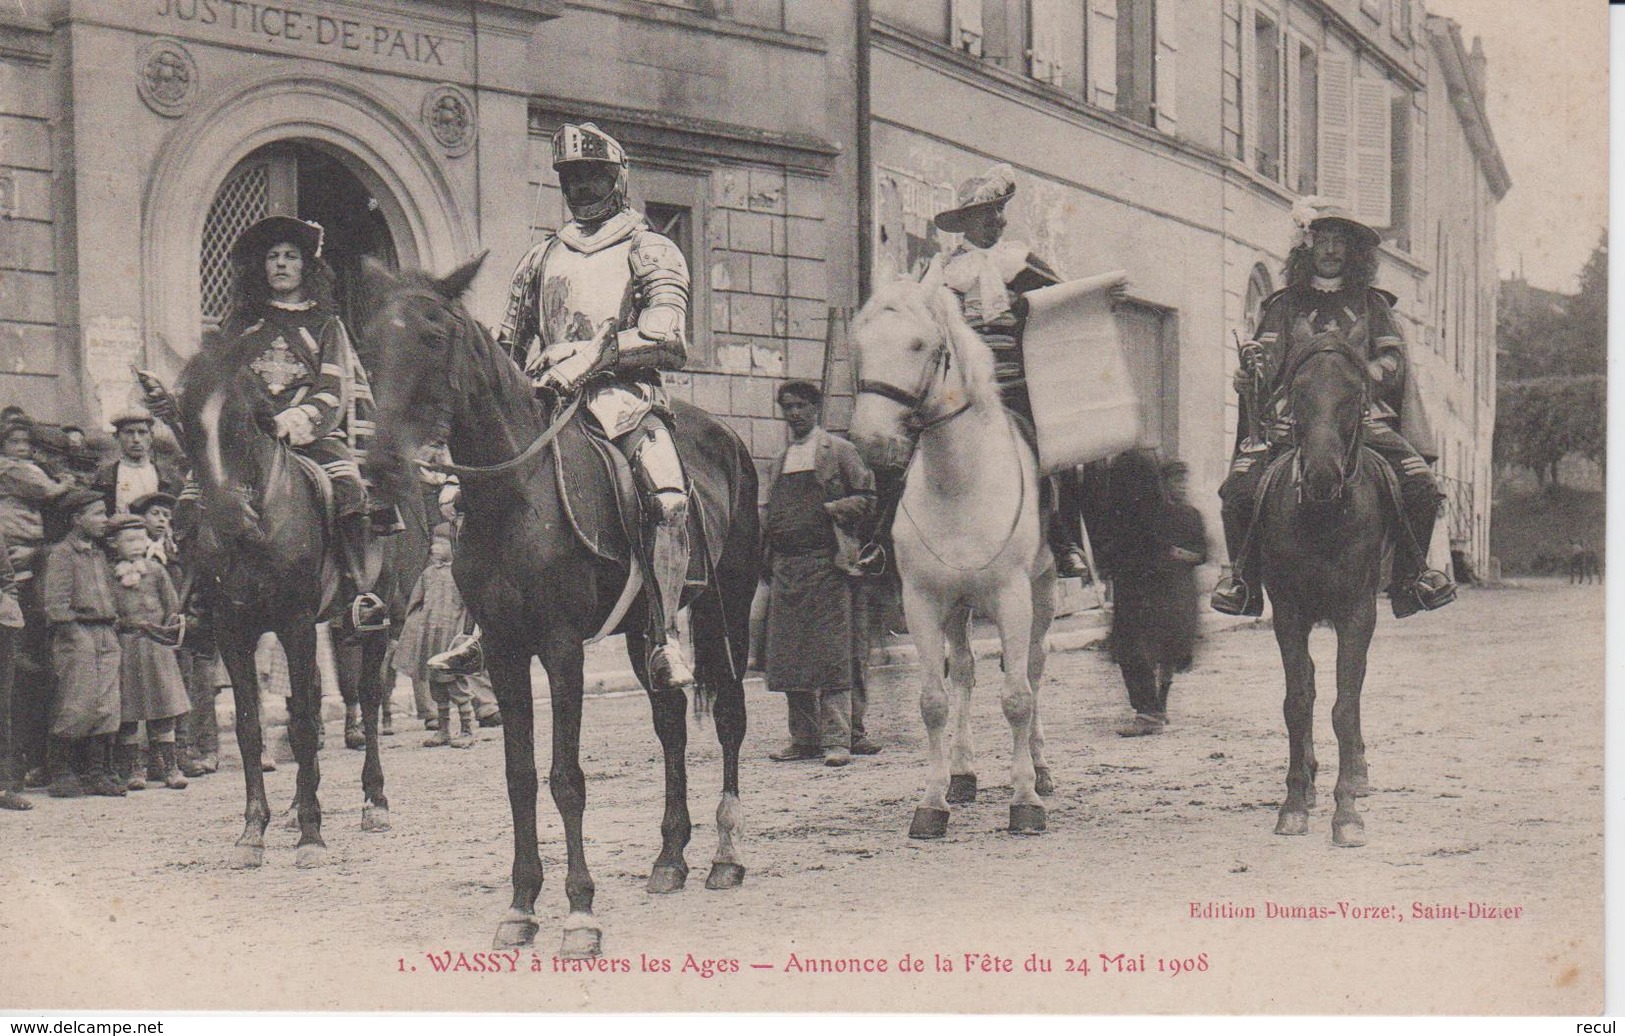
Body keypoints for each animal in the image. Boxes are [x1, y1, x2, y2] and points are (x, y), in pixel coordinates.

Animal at [178, 332, 393, 870]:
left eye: (243, 420)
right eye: (184, 421)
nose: (229, 518)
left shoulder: (295, 623)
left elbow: (302, 726)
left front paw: (313, 836)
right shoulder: (234, 633)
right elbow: (253, 728)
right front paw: (253, 832)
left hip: (380, 616)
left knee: (369, 697)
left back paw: (374, 802)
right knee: (310, 702)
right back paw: (297, 806)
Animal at [359, 258, 757, 961]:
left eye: (432, 337)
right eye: (369, 343)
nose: (380, 468)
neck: (518, 496)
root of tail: (730, 438)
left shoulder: (562, 648)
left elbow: (566, 778)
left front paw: (579, 913)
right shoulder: (508, 651)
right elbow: (519, 778)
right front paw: (521, 905)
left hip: (725, 607)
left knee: (730, 715)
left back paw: (724, 855)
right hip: (643, 632)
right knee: (671, 721)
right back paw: (669, 858)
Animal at [845, 279, 1059, 837]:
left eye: (920, 344)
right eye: (860, 343)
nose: (871, 441)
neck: (960, 482)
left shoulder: (1012, 597)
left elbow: (1016, 697)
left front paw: (1025, 799)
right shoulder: (922, 601)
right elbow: (933, 701)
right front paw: (932, 802)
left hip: (1043, 590)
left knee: (1034, 669)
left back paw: (1041, 768)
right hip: (959, 606)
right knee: (963, 670)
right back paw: (963, 774)